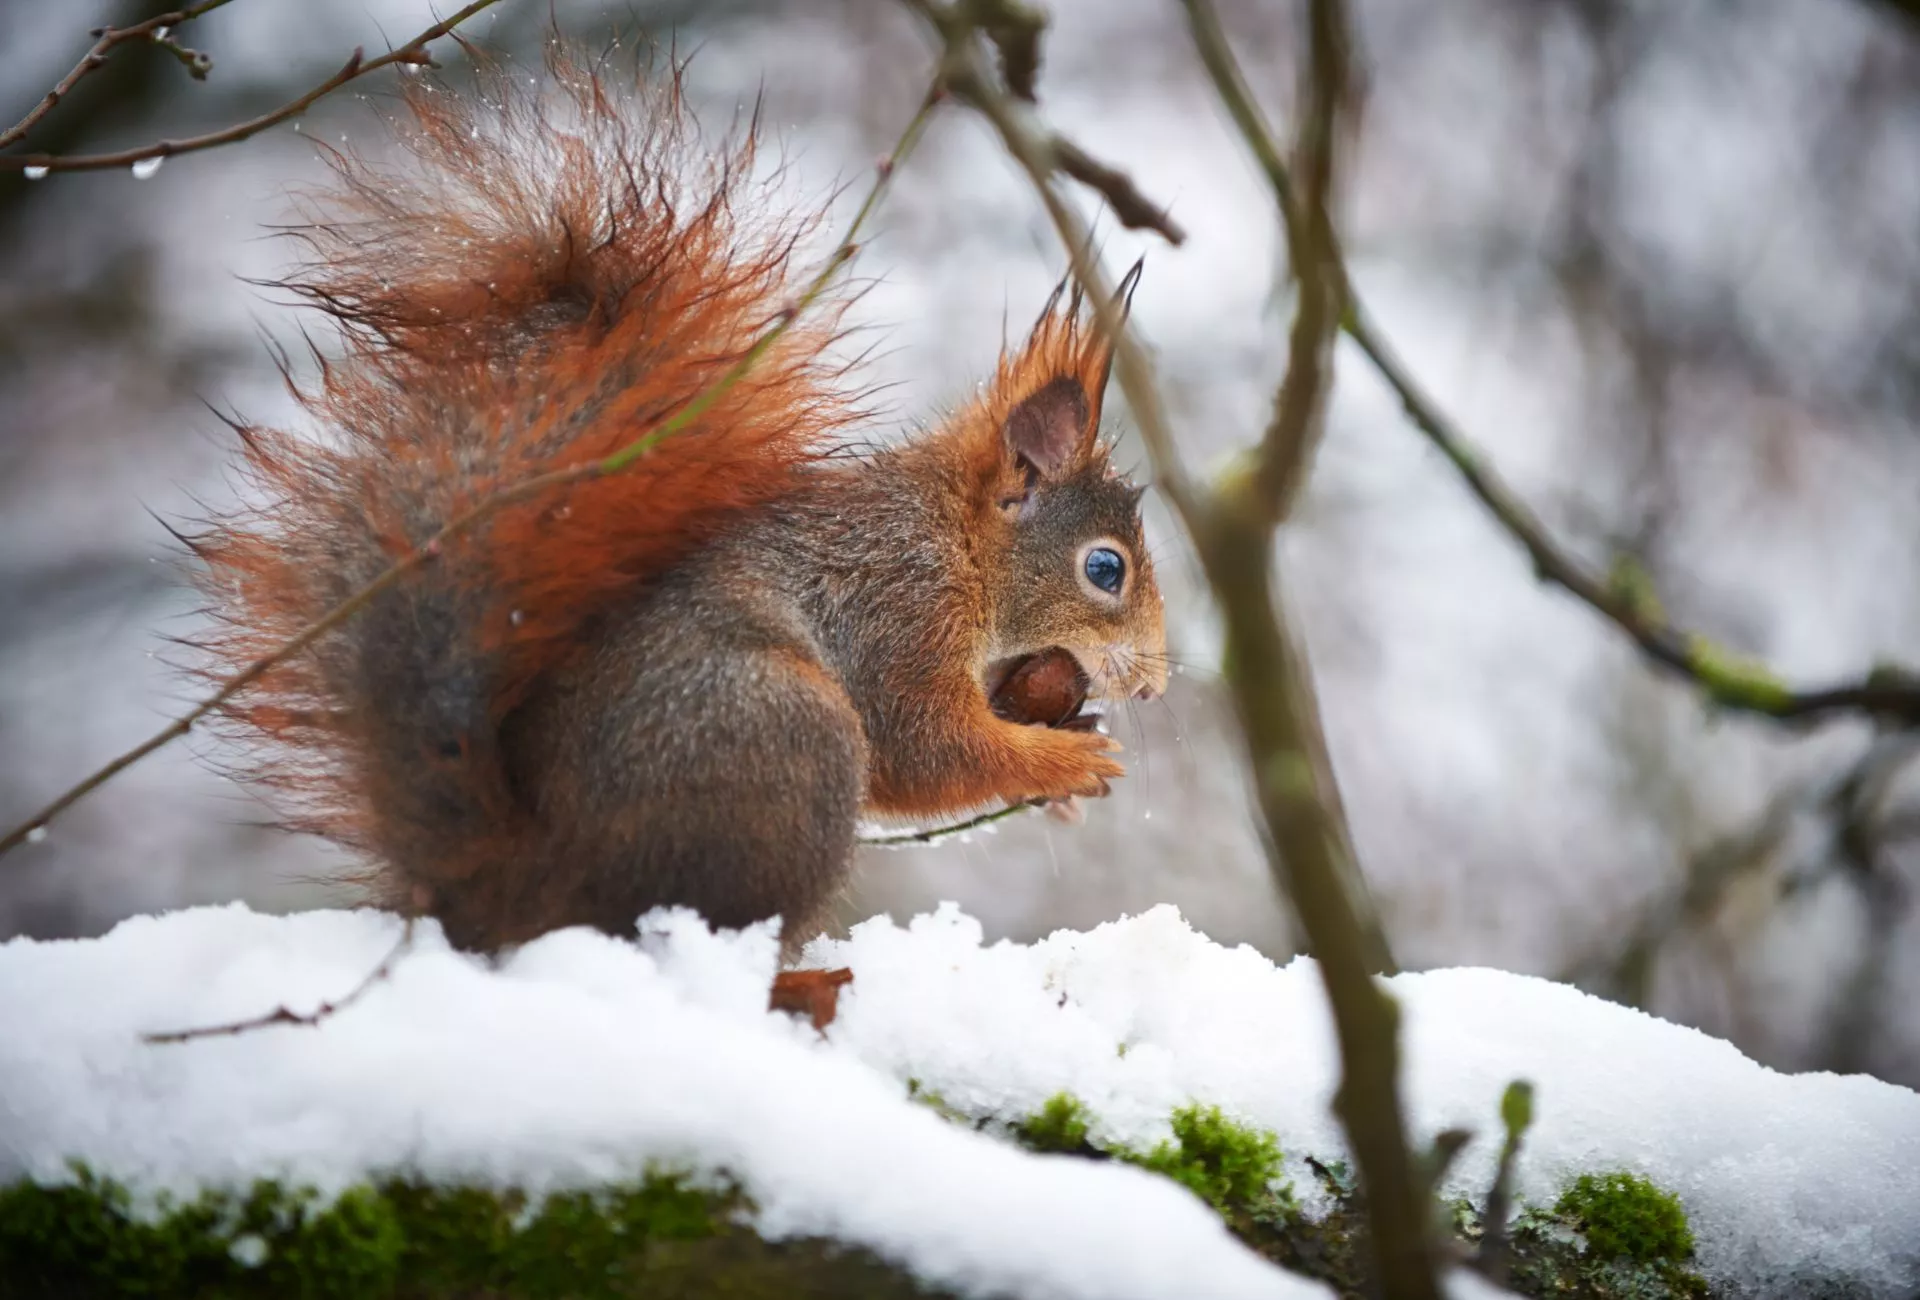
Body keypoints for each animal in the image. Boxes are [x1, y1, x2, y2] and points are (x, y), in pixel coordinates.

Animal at [187, 54, 1168, 955]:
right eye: (1105, 568)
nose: (1155, 686)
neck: (954, 541)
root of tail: (531, 886)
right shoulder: (898, 609)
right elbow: (924, 748)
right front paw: (1062, 762)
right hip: (788, 737)